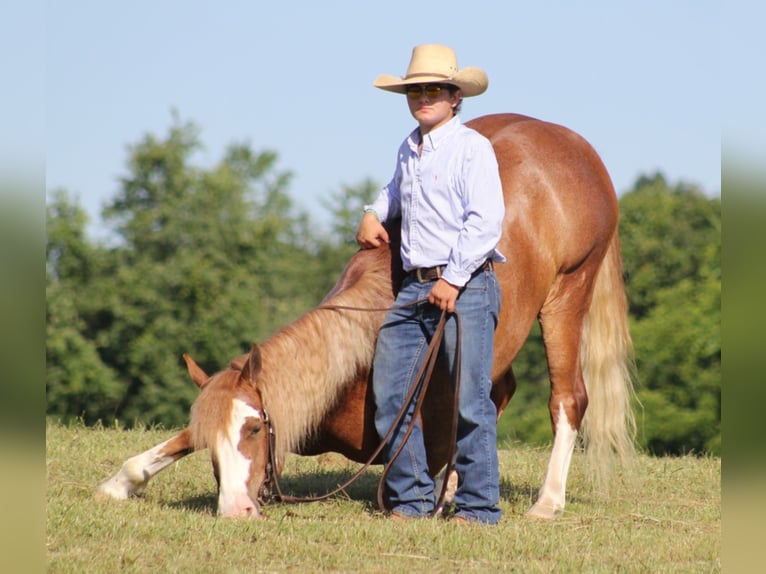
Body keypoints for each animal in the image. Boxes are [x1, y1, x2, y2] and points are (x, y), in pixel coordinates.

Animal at [97, 112, 636, 520]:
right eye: (214, 440)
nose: (235, 510)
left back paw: (546, 502)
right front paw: (121, 483)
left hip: (567, 296)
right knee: (495, 396)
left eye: (252, 430)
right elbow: (172, 443)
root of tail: (575, 146)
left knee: (566, 399)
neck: (353, 361)